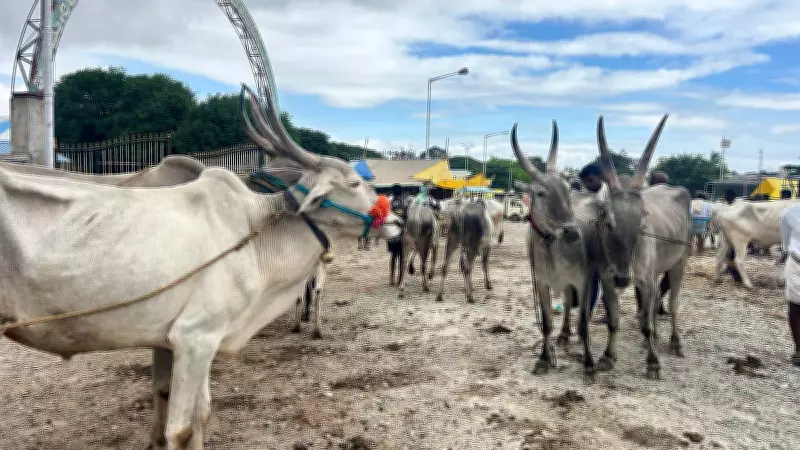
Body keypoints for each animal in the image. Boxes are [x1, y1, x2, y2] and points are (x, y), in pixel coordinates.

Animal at [0, 83, 401, 449]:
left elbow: (196, 410)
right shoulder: (195, 337)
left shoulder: (180, 340)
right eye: (354, 182)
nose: (397, 220)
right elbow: (179, 428)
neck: (255, 230)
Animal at [507, 120, 584, 376]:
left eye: (568, 189)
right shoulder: (540, 283)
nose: (572, 232)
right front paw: (543, 358)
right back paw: (563, 334)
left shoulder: (579, 279)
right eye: (540, 192)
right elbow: (547, 323)